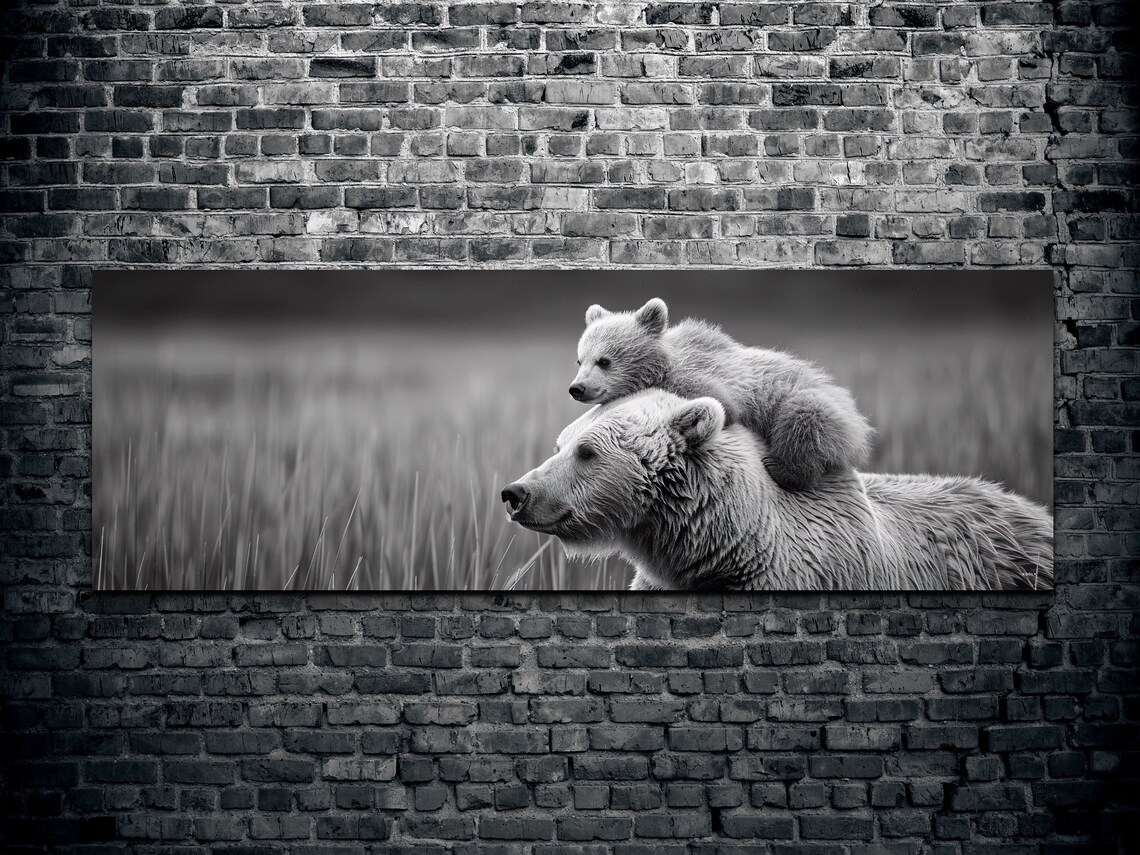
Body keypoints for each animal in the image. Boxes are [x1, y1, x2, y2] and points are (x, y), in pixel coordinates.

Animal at [568, 297, 874, 491]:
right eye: (579, 360)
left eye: (604, 360)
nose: (577, 388)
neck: (660, 368)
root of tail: (859, 426)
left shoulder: (701, 378)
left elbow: (722, 407)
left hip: (807, 401)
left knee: (803, 420)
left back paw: (782, 468)